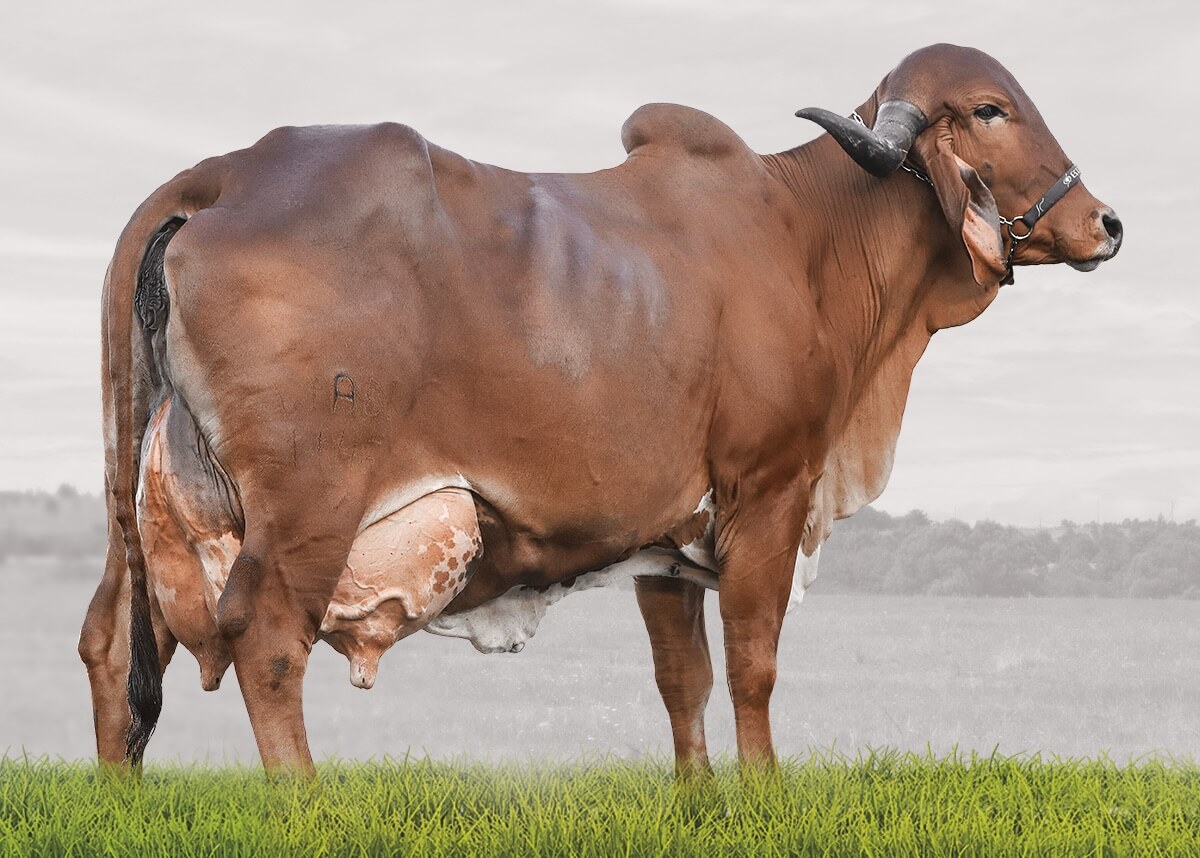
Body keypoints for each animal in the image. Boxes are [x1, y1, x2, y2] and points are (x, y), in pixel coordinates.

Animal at [79, 43, 1121, 776]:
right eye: (989, 110)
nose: (1104, 223)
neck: (808, 231)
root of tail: (229, 172)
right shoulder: (768, 492)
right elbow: (753, 665)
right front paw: (765, 794)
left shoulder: (669, 535)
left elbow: (681, 680)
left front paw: (703, 800)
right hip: (307, 508)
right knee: (264, 642)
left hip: (134, 502)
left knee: (113, 638)